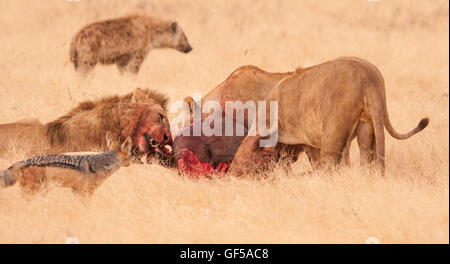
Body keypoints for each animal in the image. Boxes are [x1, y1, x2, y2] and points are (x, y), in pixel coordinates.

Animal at [229, 56, 428, 175]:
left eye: (245, 165)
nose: (232, 176)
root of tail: (367, 76)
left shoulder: (309, 141)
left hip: (335, 126)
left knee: (330, 161)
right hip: (368, 124)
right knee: (366, 156)